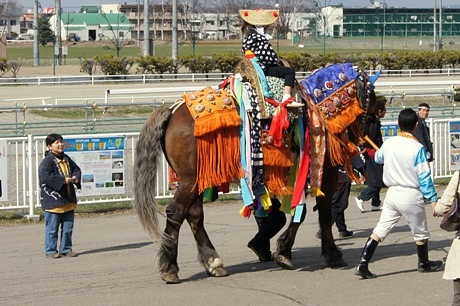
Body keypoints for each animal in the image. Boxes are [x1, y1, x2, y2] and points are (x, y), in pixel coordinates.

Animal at [133, 62, 378, 284]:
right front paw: (330, 254)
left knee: (194, 216)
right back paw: (170, 268)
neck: (317, 110)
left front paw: (283, 251)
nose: (367, 141)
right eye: (374, 100)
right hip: (189, 180)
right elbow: (322, 213)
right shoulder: (325, 172)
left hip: (195, 181)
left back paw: (213, 262)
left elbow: (301, 212)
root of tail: (172, 111)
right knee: (176, 213)